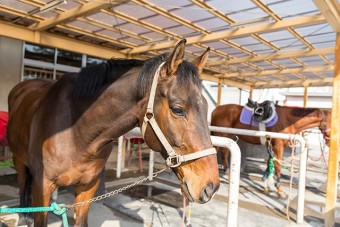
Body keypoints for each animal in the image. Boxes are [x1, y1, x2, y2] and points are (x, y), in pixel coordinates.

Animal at [7, 40, 220, 226]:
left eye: (206, 107)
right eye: (177, 109)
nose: (211, 187)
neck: (75, 133)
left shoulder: (87, 187)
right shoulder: (42, 187)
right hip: (19, 159)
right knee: (23, 181)